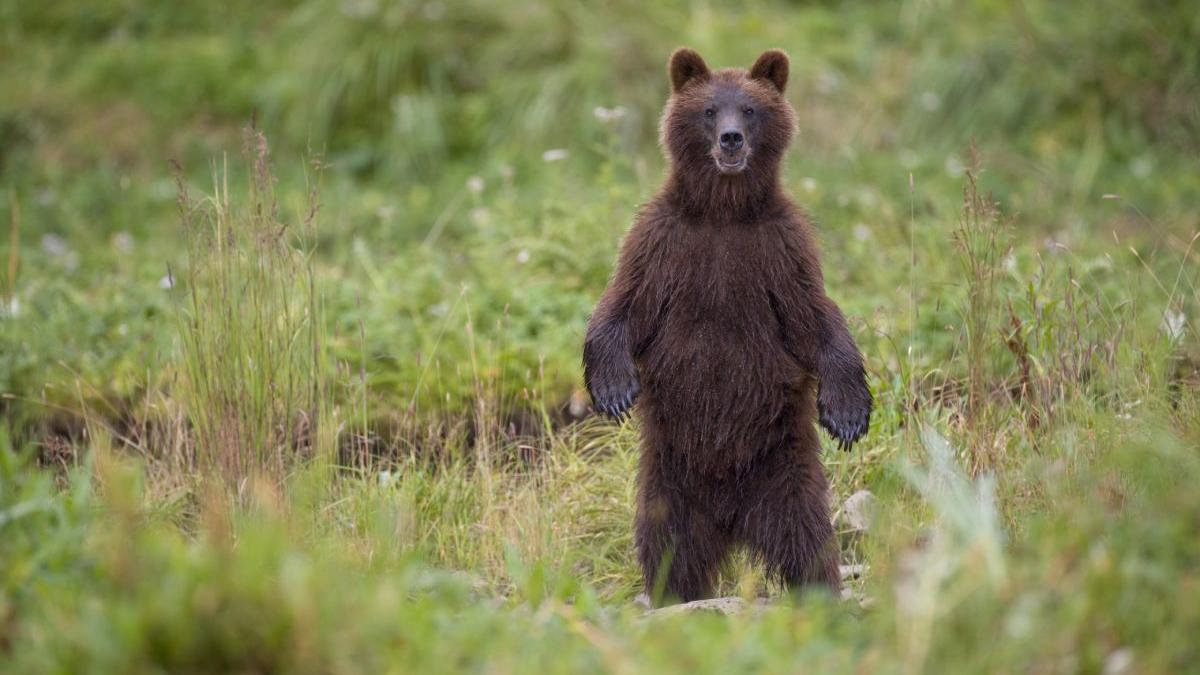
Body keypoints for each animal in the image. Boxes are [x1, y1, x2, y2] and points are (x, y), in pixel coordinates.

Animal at [583, 49, 873, 600]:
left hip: (785, 470)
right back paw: (673, 596)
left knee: (808, 540)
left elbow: (816, 321)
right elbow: (623, 306)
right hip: (669, 479)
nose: (731, 138)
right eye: (710, 110)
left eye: (751, 109)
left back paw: (819, 591)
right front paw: (613, 389)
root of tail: (732, 521)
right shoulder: (664, 244)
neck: (723, 211)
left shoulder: (778, 251)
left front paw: (848, 412)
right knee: (669, 545)